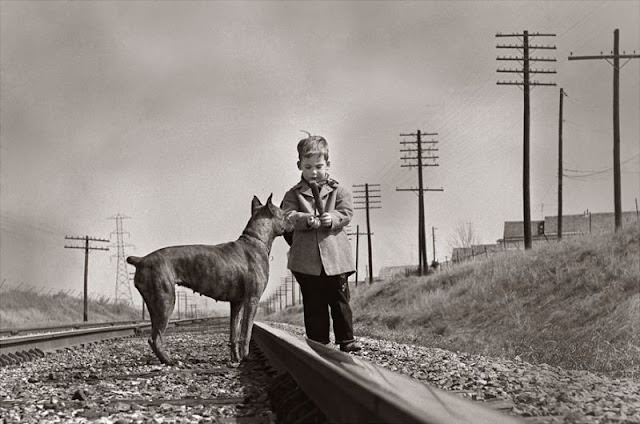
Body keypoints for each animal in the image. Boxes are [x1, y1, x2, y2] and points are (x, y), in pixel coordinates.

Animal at [126, 195, 292, 364]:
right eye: (285, 214)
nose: (293, 221)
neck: (255, 240)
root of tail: (141, 260)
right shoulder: (252, 300)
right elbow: (246, 332)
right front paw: (245, 357)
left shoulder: (237, 303)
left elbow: (234, 333)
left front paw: (236, 358)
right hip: (165, 301)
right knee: (155, 338)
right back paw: (169, 360)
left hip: (155, 304)